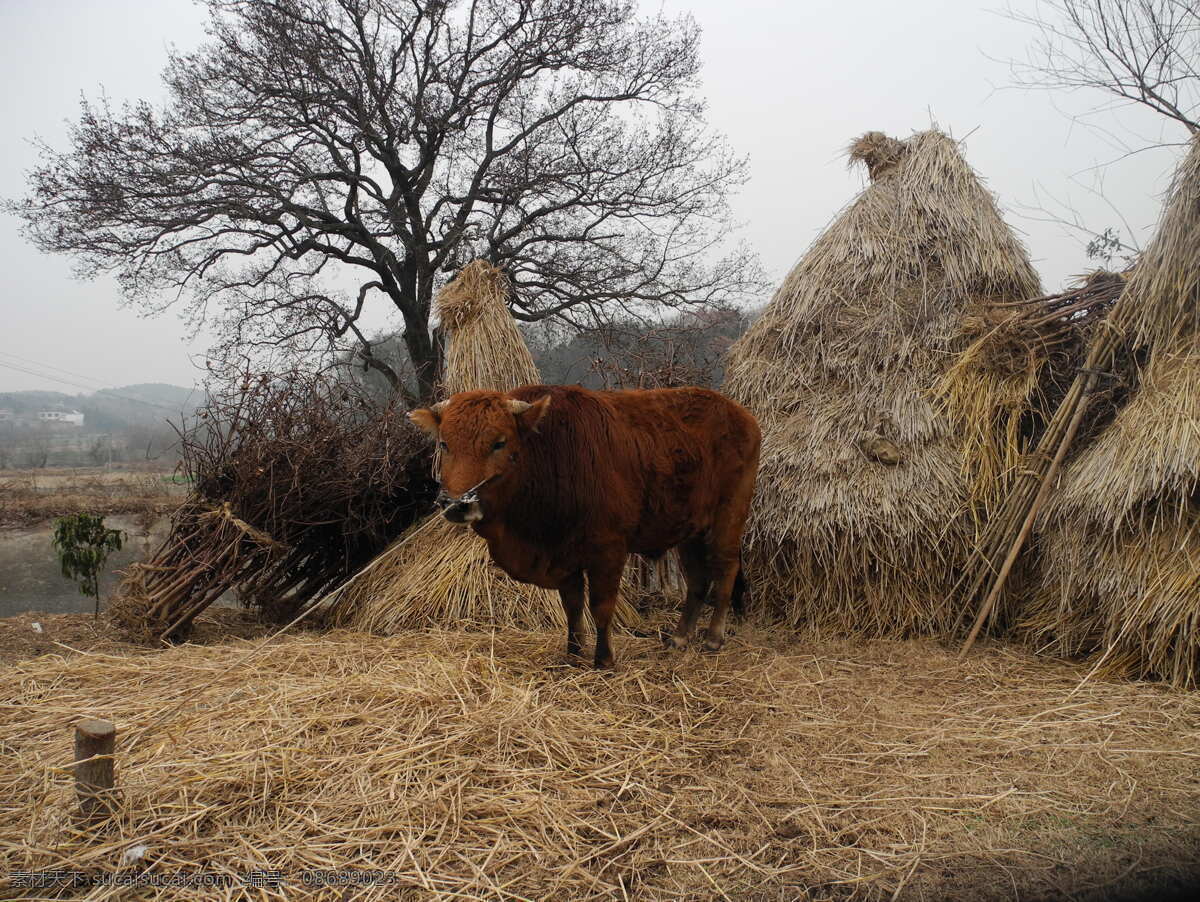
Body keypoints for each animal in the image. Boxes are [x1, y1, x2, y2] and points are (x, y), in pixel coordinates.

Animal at [408, 383, 753, 666]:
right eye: (444, 444)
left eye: (499, 443)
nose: (456, 504)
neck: (551, 453)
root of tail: (739, 412)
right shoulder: (563, 557)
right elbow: (572, 607)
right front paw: (573, 654)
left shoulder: (609, 552)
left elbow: (601, 607)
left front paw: (604, 659)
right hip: (689, 531)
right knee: (697, 580)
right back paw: (680, 637)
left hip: (728, 520)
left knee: (725, 570)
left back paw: (713, 637)